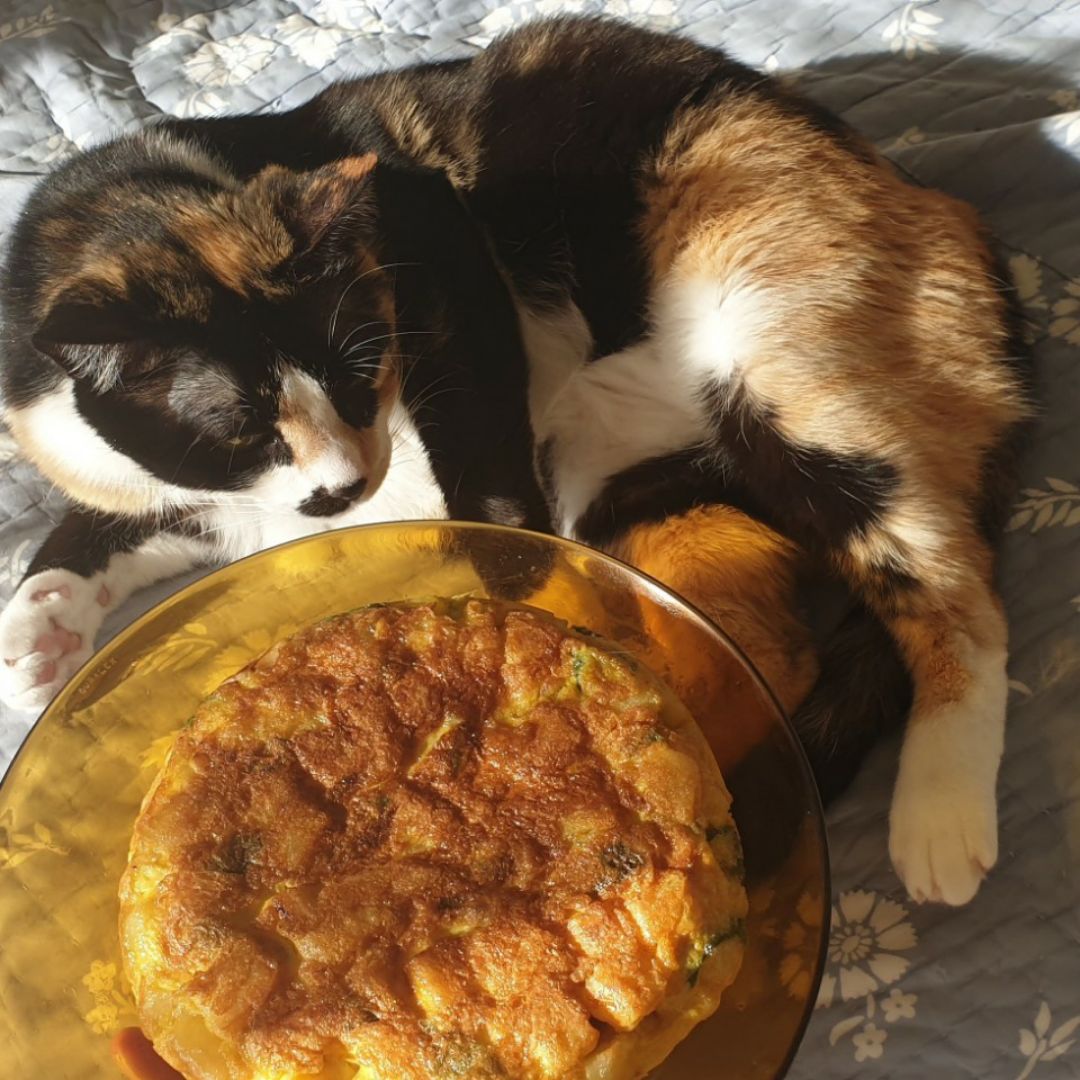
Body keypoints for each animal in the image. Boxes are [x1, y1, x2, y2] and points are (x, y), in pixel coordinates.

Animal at [0, 21, 1028, 907]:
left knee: (955, 600)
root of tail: (949, 218)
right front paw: (38, 632)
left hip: (781, 363)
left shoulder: (439, 259)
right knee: (774, 645)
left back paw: (929, 814)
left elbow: (486, 477)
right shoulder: (187, 492)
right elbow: (95, 526)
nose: (343, 485)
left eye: (363, 370)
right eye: (243, 429)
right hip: (643, 494)